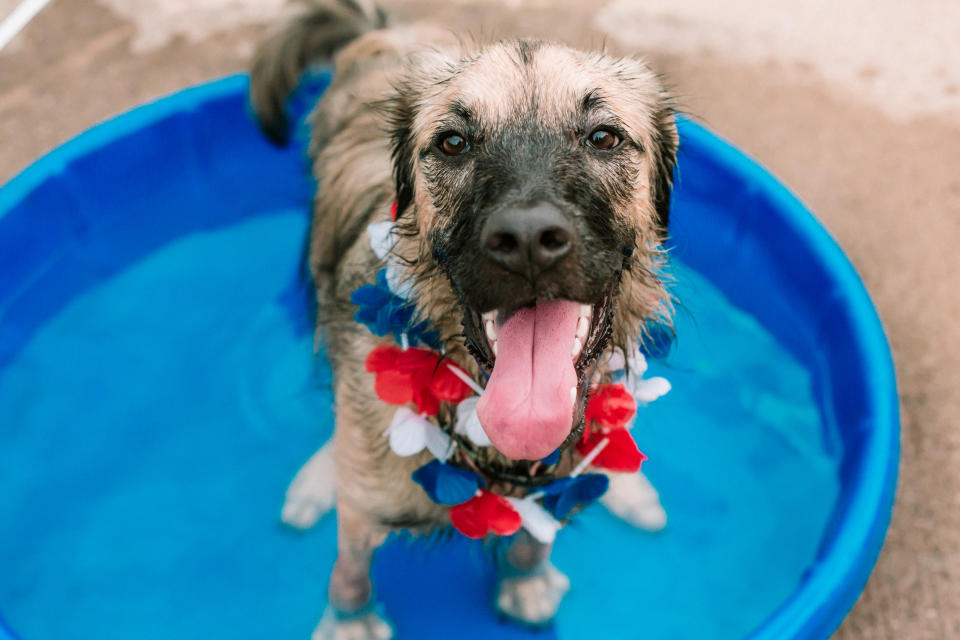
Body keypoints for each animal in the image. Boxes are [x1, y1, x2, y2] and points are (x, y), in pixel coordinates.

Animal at [251, 2, 680, 636]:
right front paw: (351, 619)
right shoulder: (364, 501)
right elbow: (351, 562)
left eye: (604, 137)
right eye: (452, 143)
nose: (527, 240)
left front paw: (525, 580)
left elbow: (536, 534)